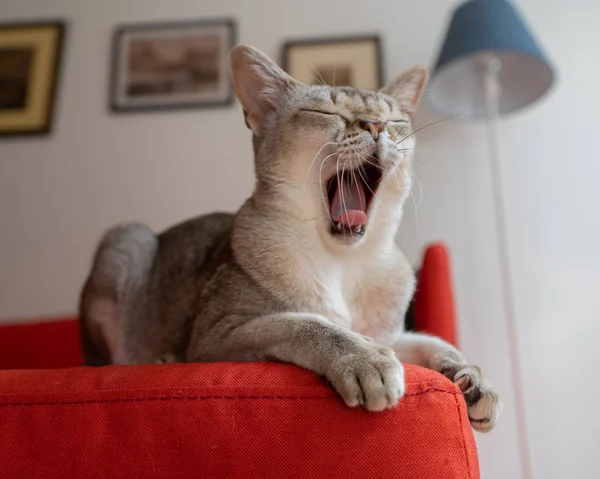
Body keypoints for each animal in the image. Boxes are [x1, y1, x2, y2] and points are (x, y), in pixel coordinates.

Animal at [79, 45, 502, 434]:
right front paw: (366, 361)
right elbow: (306, 324)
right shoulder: (218, 334)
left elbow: (431, 342)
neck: (344, 263)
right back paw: (159, 360)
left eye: (394, 120)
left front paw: (471, 378)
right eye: (327, 113)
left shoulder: (389, 333)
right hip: (127, 239)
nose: (375, 126)